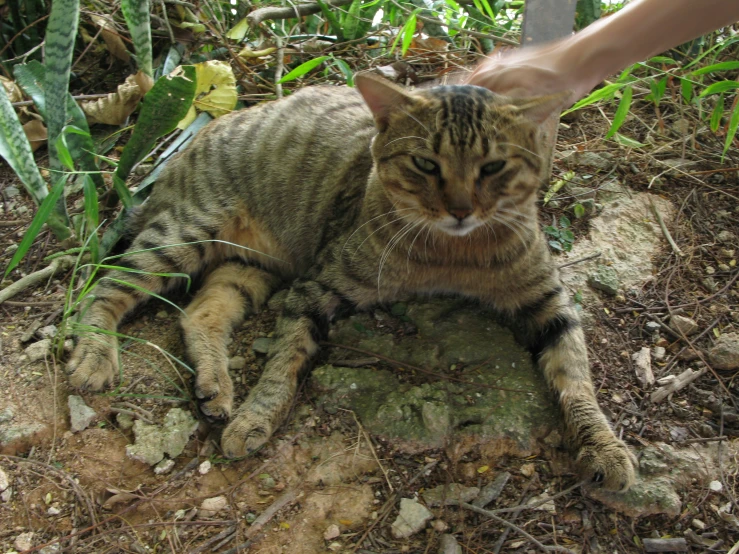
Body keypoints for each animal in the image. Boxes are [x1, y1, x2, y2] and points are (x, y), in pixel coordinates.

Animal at [68, 71, 636, 490]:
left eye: (493, 166)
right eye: (425, 163)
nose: (460, 209)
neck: (454, 255)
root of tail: (184, 148)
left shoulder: (551, 302)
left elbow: (577, 375)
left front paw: (605, 445)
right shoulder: (317, 286)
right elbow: (283, 363)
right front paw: (257, 417)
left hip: (251, 268)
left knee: (198, 312)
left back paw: (215, 385)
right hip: (185, 234)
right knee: (105, 285)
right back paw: (94, 354)